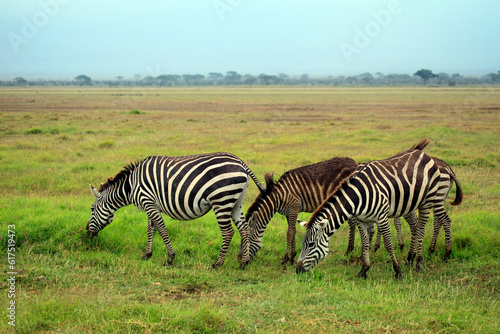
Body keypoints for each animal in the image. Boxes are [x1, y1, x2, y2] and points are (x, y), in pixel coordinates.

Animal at [87, 153, 266, 270]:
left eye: (92, 209)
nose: (87, 232)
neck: (131, 186)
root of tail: (241, 163)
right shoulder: (151, 205)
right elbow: (150, 230)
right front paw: (147, 254)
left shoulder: (148, 202)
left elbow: (162, 230)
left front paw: (170, 258)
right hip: (236, 202)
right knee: (244, 229)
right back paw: (243, 262)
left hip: (221, 200)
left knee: (228, 232)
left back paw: (217, 264)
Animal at [296, 138, 442, 280]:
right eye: (302, 244)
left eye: (311, 245)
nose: (298, 270)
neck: (358, 196)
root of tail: (422, 153)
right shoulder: (362, 219)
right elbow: (365, 243)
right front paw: (364, 270)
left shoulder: (382, 217)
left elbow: (388, 244)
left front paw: (398, 272)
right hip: (408, 204)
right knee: (415, 226)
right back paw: (410, 259)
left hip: (427, 201)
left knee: (421, 229)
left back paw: (419, 263)